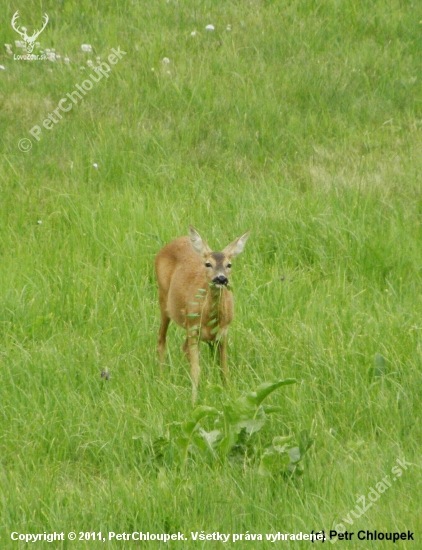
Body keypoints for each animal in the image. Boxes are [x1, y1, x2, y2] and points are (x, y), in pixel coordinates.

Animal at [157, 226, 251, 404]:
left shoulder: (224, 331)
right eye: (208, 264)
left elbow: (223, 366)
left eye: (229, 264)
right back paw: (161, 375)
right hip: (164, 300)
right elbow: (196, 368)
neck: (210, 319)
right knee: (161, 339)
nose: (221, 278)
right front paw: (194, 400)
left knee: (183, 347)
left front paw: (229, 393)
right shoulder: (193, 328)